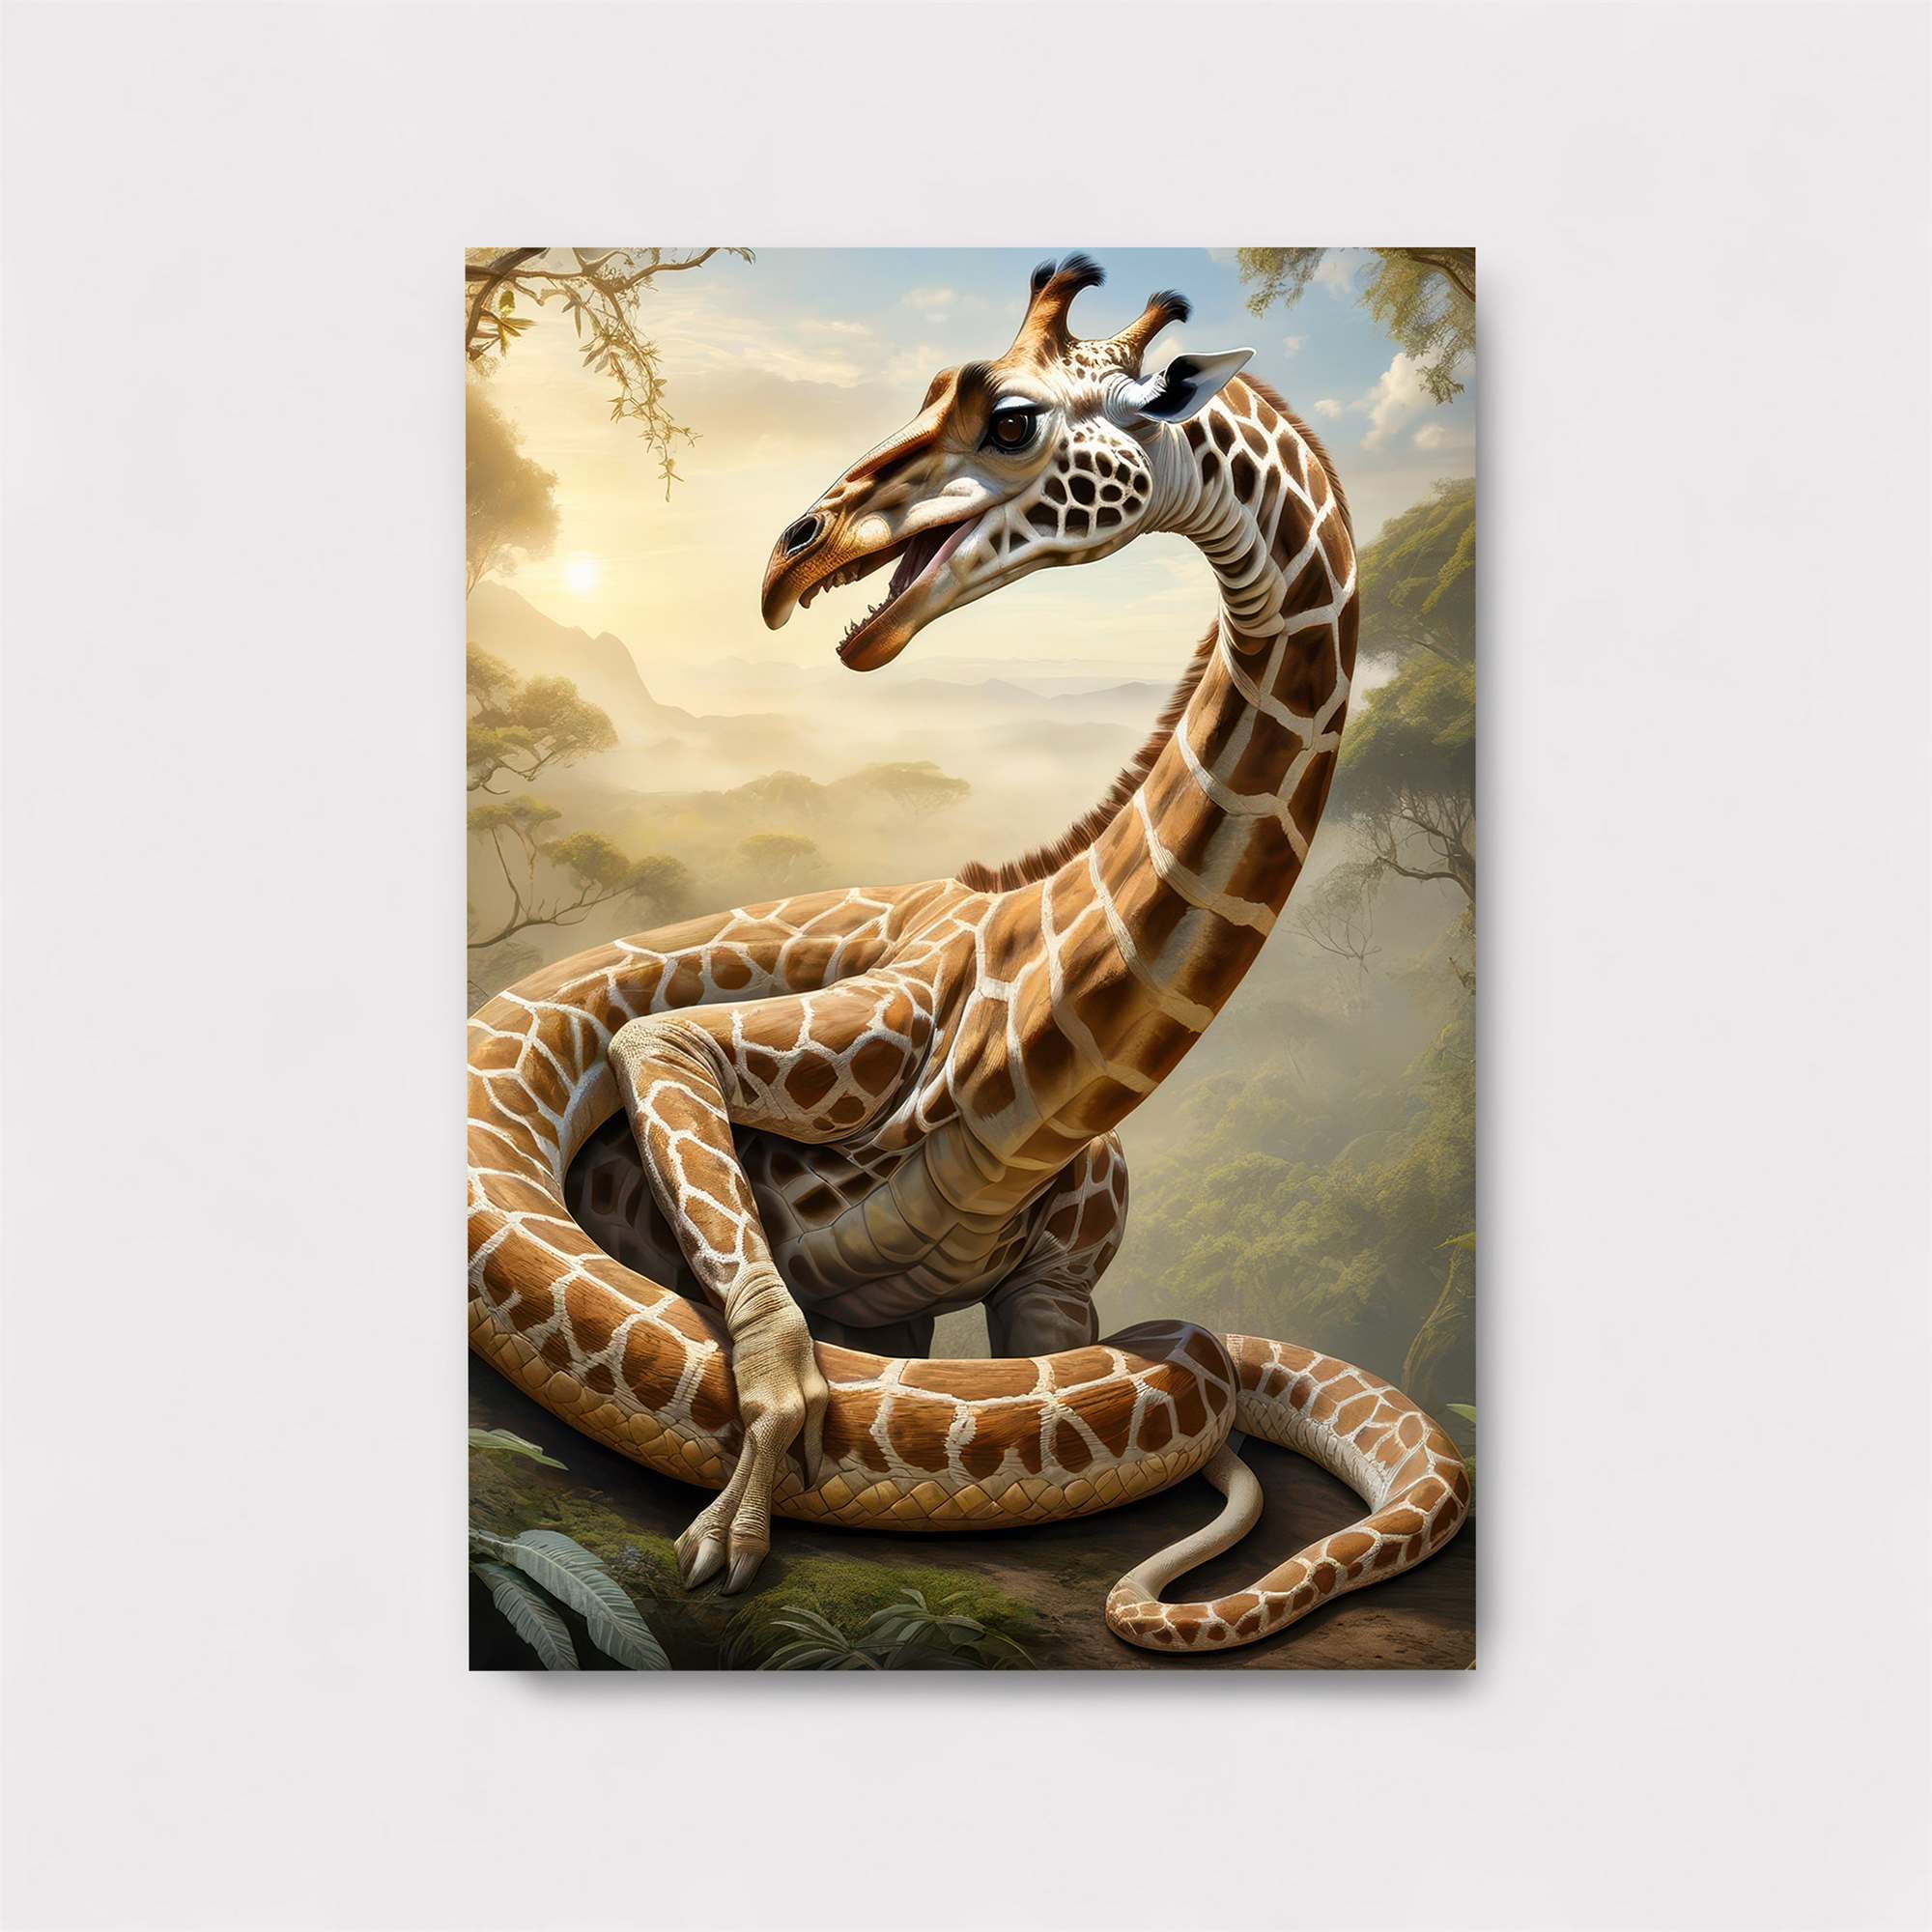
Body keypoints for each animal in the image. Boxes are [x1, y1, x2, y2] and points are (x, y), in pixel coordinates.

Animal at [469, 255, 1471, 1652]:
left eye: (1010, 422)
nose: (790, 559)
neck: (1021, 1080)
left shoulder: (1062, 1274)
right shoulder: (819, 1043)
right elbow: (663, 1061)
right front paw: (743, 1505)